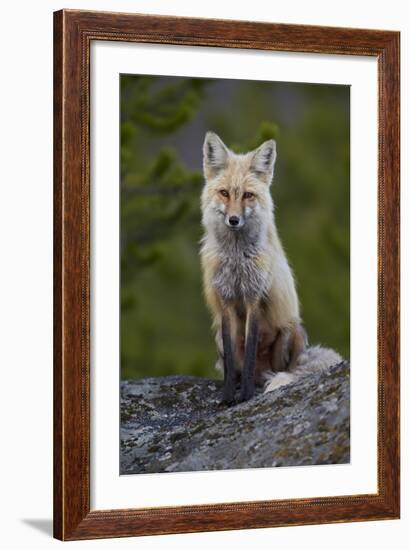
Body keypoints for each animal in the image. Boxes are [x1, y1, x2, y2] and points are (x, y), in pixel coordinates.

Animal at [200, 130, 342, 406]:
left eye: (247, 195)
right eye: (224, 193)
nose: (234, 220)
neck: (237, 259)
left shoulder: (255, 298)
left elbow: (250, 350)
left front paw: (245, 396)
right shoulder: (225, 302)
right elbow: (233, 360)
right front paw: (228, 396)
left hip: (290, 329)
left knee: (280, 369)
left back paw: (264, 381)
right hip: (218, 337)